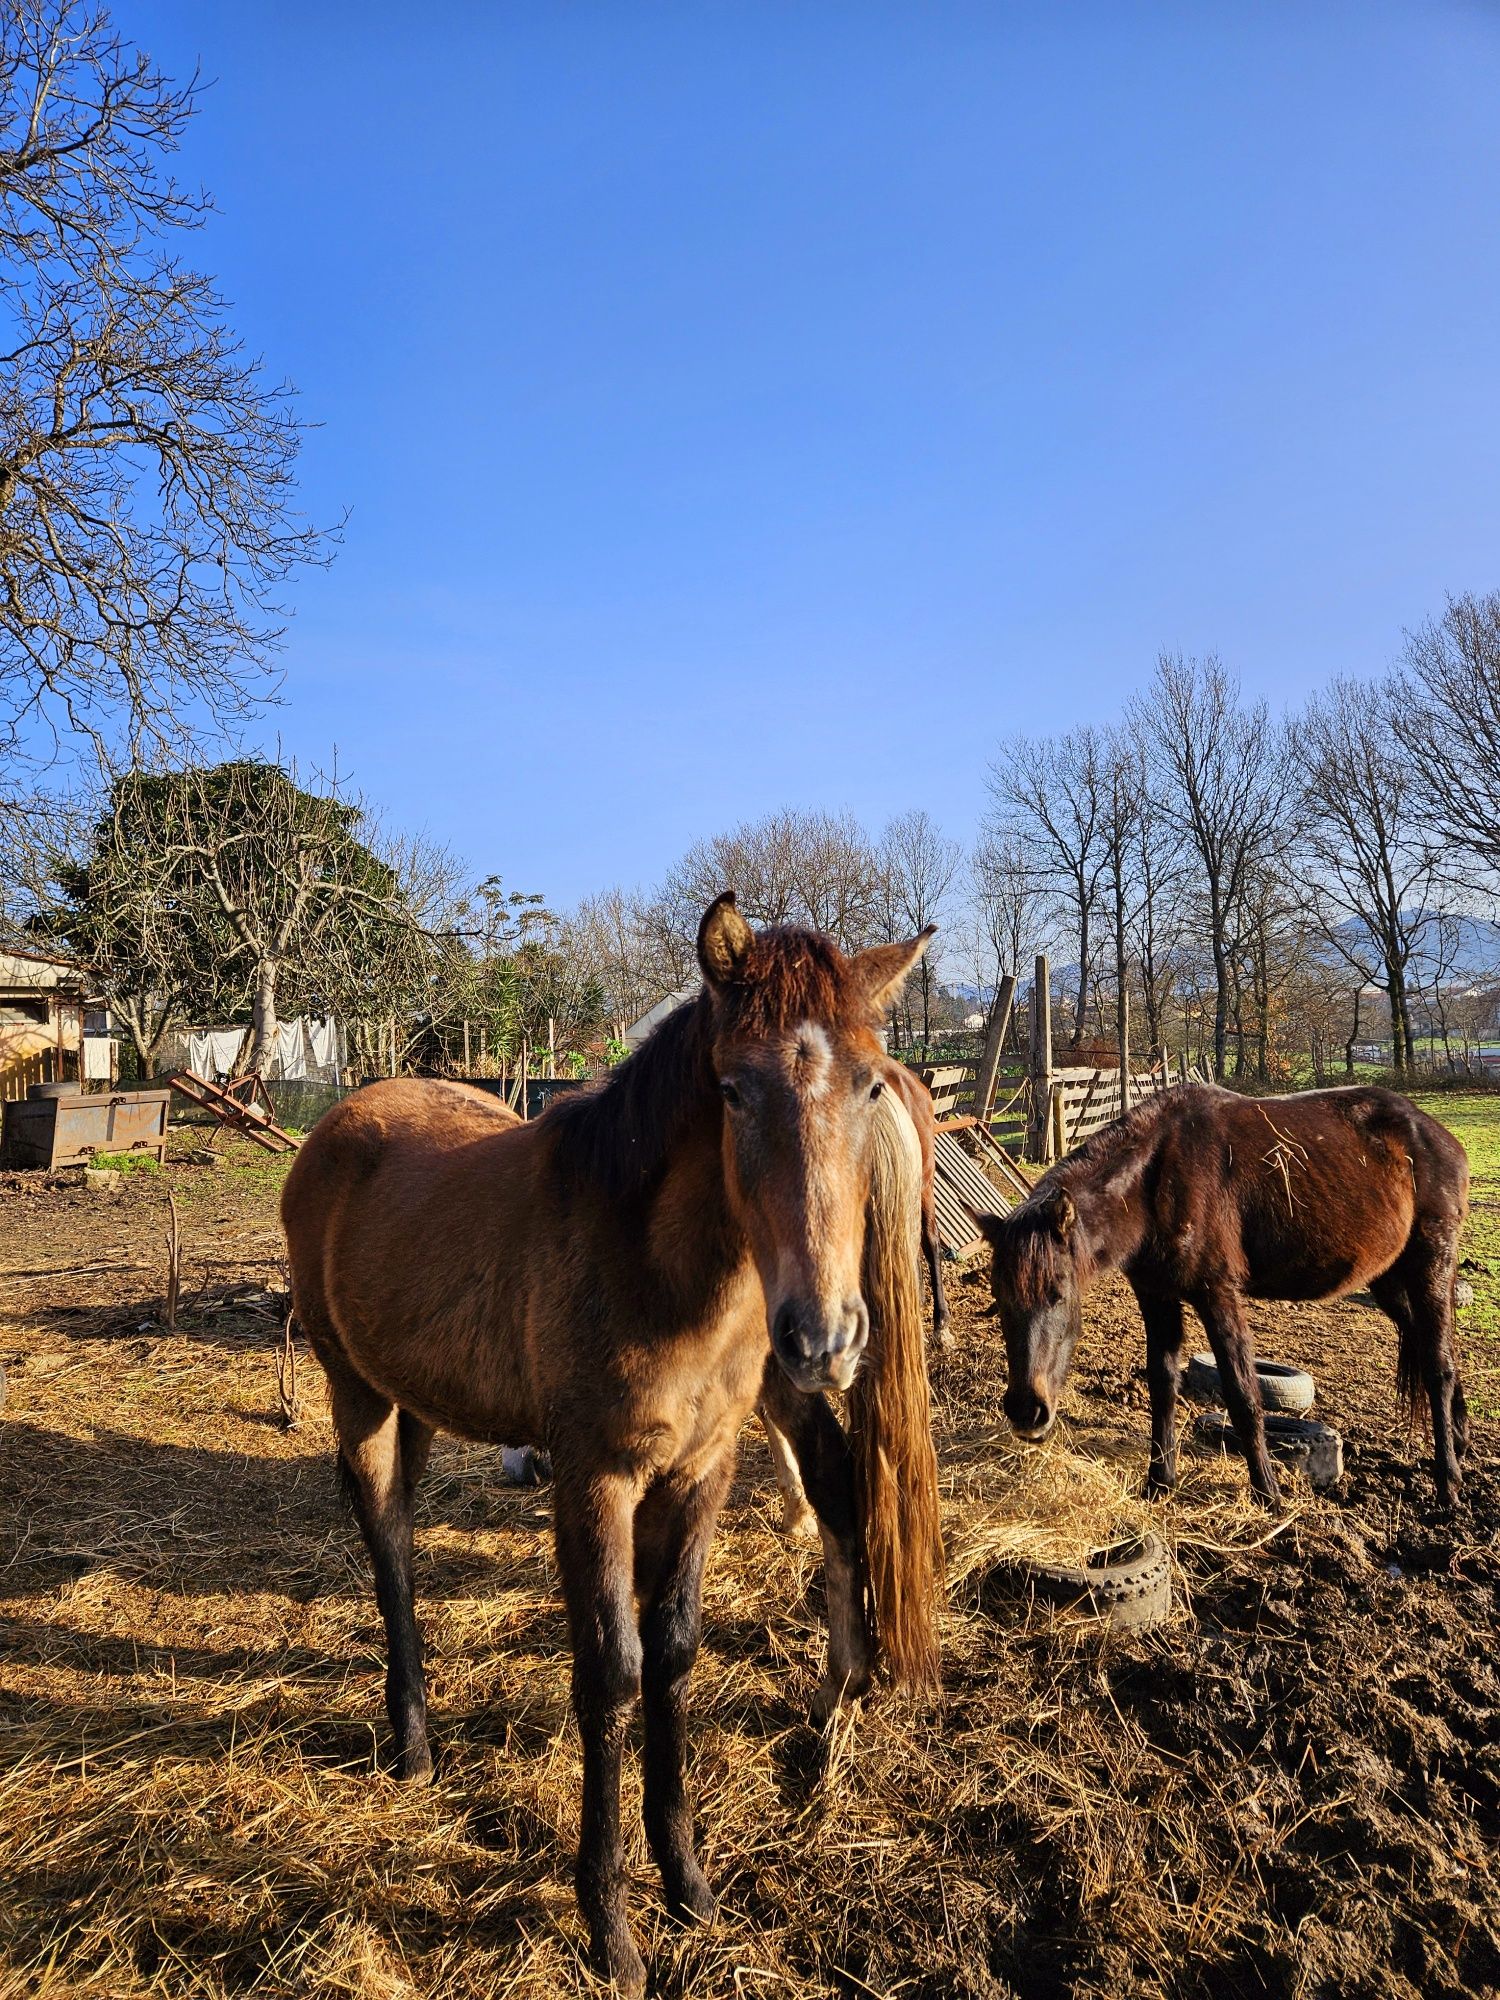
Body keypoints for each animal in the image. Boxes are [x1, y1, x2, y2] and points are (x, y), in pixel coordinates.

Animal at [280, 900, 940, 1992]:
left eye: (871, 1081)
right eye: (731, 1087)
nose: (823, 1337)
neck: (656, 1267)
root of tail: (341, 1118)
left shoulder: (699, 1473)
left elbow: (671, 1652)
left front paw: (688, 1883)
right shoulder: (594, 1482)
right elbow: (612, 1672)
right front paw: (609, 1924)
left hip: (414, 1399)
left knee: (405, 1532)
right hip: (355, 1392)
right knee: (387, 1546)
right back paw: (412, 1742)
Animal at [980, 1088, 1472, 1504]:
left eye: (1058, 1294)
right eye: (1000, 1299)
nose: (1026, 1412)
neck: (1155, 1181)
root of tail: (1438, 1136)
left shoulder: (1217, 1293)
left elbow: (1242, 1392)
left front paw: (1268, 1494)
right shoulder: (1156, 1294)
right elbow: (1162, 1385)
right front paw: (1159, 1484)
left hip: (1431, 1262)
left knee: (1439, 1365)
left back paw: (1448, 1484)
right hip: (1389, 1280)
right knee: (1428, 1345)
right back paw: (1461, 1439)